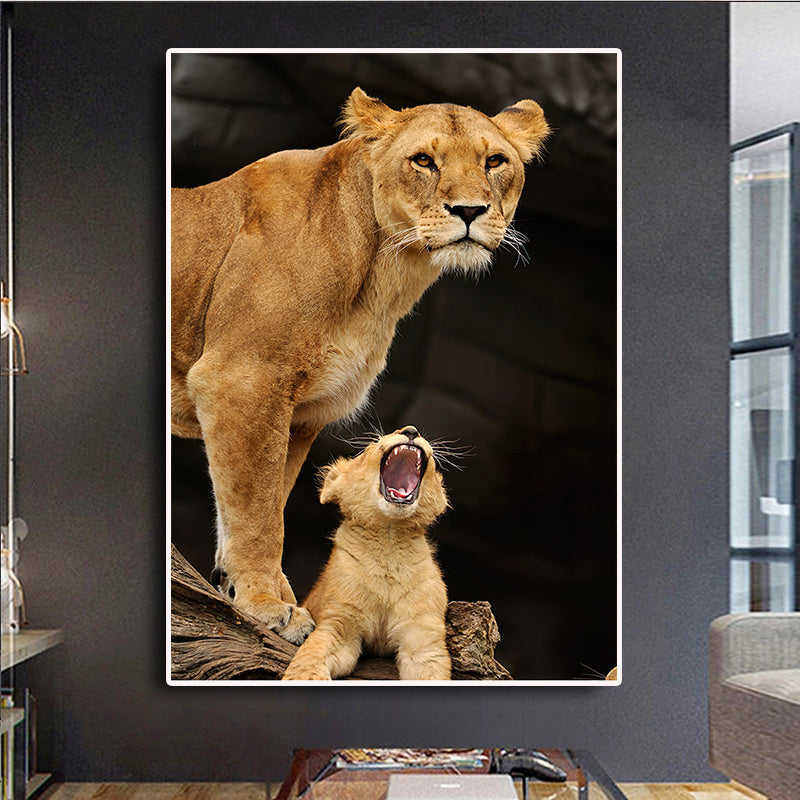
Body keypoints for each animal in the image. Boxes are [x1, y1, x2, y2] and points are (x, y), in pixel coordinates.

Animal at [171, 87, 549, 643]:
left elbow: (265, 500)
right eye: (424, 160)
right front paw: (266, 604)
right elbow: (257, 512)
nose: (470, 210)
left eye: (495, 161)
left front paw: (264, 593)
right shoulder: (241, 380)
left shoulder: (299, 412)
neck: (386, 270)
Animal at [282, 426, 451, 681]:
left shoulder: (423, 638)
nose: (411, 431)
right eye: (369, 447)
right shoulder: (338, 624)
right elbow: (310, 657)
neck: (389, 542)